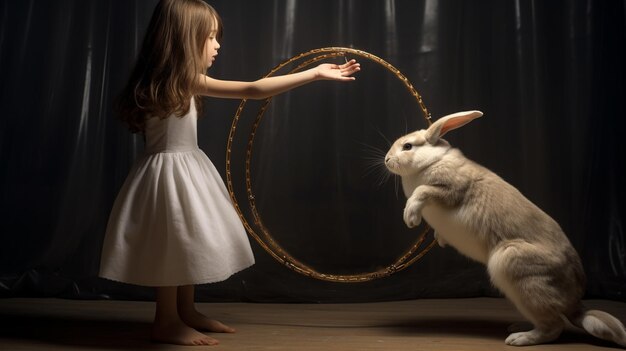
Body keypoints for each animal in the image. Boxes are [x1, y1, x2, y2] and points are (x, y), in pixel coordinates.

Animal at [380, 111, 624, 348]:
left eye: (408, 146)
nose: (387, 160)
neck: (430, 162)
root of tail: (574, 303)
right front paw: (440, 239)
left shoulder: (449, 190)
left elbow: (422, 191)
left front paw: (410, 217)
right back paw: (518, 327)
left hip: (514, 266)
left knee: (554, 327)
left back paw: (519, 338)